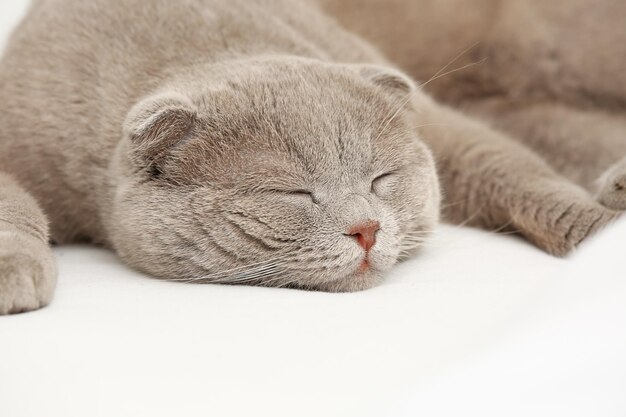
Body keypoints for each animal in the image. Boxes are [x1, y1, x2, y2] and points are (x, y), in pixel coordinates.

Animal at [0, 0, 620, 314]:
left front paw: (600, 233)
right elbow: (13, 206)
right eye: (293, 194)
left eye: (381, 179)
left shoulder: (444, 125)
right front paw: (13, 277)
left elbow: (507, 166)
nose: (368, 229)